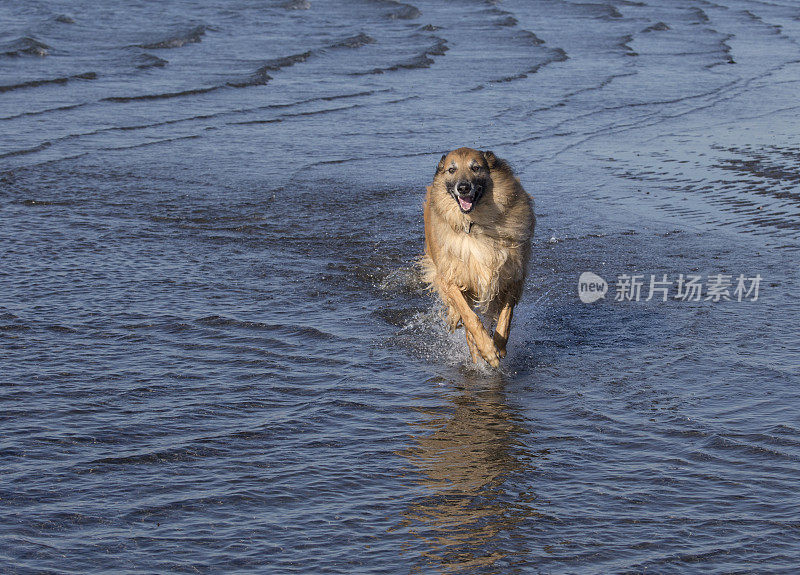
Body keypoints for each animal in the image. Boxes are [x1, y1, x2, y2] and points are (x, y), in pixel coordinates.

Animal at [418, 146, 536, 366]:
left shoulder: (511, 277)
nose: (463, 188)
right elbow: (470, 317)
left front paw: (498, 346)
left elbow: (505, 317)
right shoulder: (452, 278)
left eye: (476, 168)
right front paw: (487, 350)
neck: (475, 224)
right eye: (451, 170)